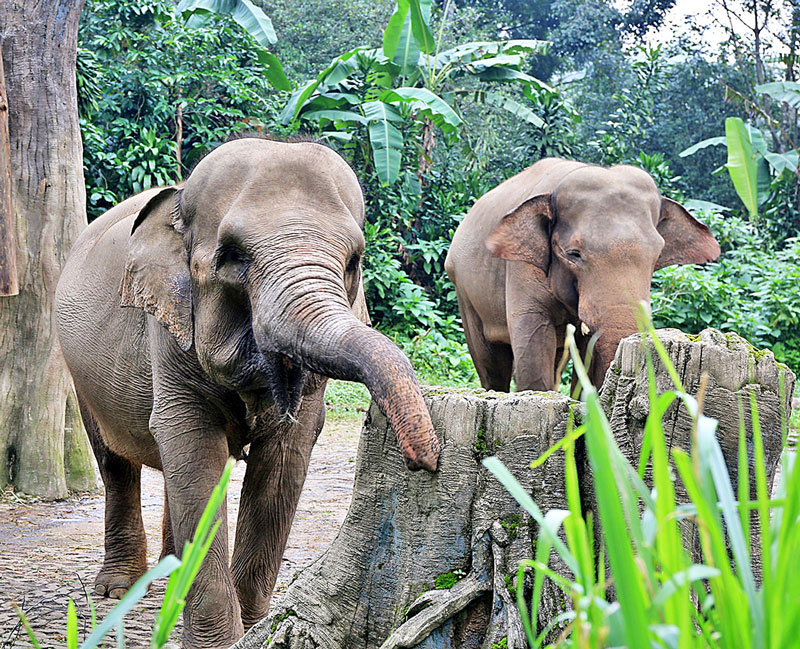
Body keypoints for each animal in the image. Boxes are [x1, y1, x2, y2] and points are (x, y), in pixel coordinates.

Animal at [54, 134, 444, 644]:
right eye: (233, 257)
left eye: (354, 261)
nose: (427, 462)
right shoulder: (170, 331)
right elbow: (192, 448)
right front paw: (219, 642)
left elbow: (283, 460)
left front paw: (258, 630)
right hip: (79, 374)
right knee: (116, 462)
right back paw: (117, 589)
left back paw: (169, 582)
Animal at [446, 157, 720, 390]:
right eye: (573, 254)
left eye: (657, 254)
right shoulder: (521, 269)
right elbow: (532, 343)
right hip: (464, 291)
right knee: (491, 362)